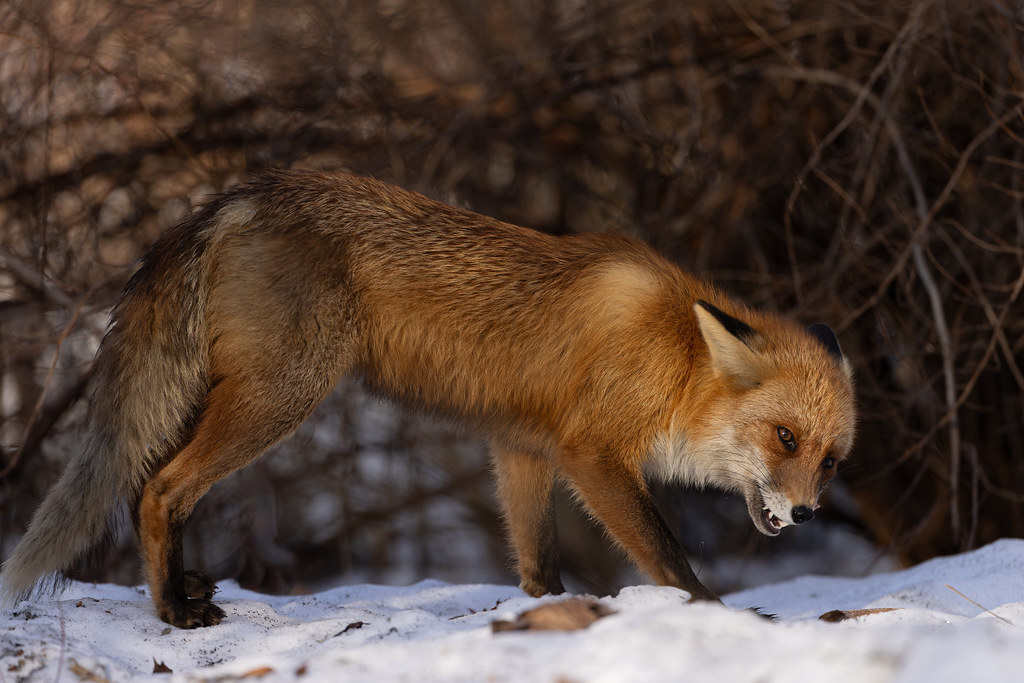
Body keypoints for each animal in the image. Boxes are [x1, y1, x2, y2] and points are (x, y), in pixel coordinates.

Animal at [0, 167, 856, 626]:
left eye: (832, 460)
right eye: (784, 438)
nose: (809, 512)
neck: (675, 353)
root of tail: (243, 194)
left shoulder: (522, 444)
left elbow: (537, 566)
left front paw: (545, 617)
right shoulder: (593, 455)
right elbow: (671, 557)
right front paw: (723, 616)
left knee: (151, 487)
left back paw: (179, 588)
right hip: (280, 399)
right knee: (158, 487)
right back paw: (172, 611)